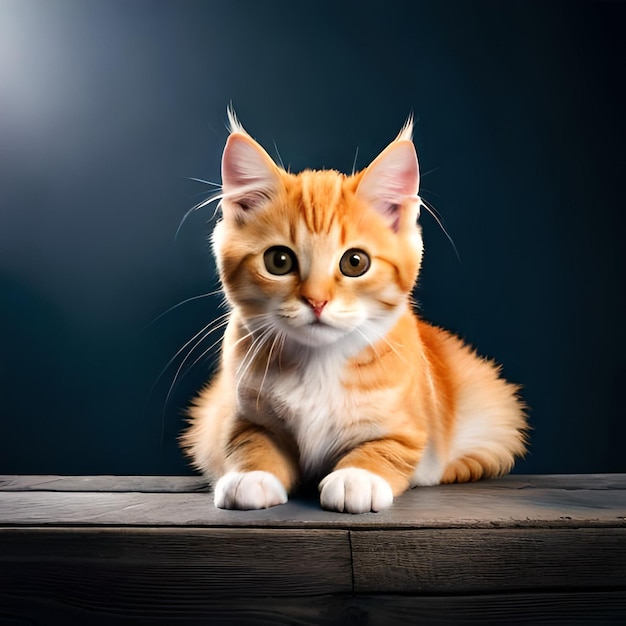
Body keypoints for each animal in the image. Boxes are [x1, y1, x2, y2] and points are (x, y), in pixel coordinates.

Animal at [180, 108, 528, 512]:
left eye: (355, 262)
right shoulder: (234, 411)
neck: (317, 363)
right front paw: (251, 475)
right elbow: (247, 439)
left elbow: (386, 447)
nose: (316, 301)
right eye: (278, 261)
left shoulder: (412, 429)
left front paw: (357, 477)